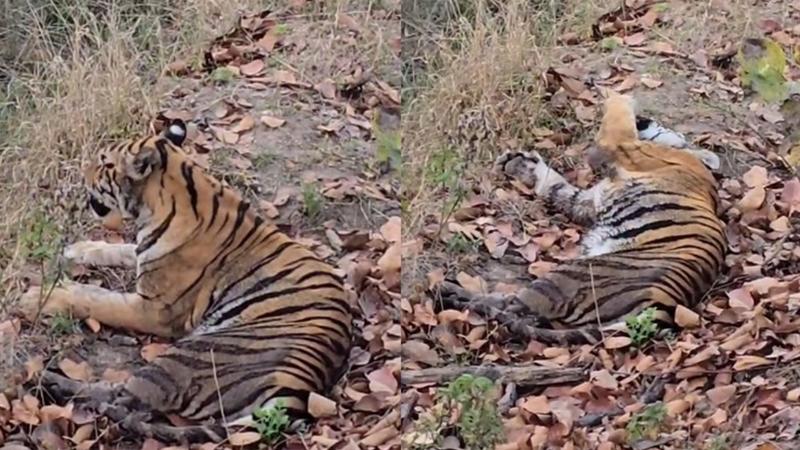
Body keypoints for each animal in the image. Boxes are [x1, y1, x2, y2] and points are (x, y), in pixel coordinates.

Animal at [16, 118, 350, 442]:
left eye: (104, 163)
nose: (81, 173)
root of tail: (300, 389)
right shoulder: (143, 254)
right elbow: (119, 250)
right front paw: (77, 250)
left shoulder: (154, 310)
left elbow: (93, 298)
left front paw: (35, 298)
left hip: (194, 353)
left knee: (126, 397)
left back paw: (46, 380)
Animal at [438, 91, 724, 344]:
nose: (647, 118)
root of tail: (664, 307)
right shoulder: (587, 200)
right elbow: (555, 186)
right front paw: (519, 163)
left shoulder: (623, 145)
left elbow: (618, 111)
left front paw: (619, 95)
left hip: (572, 275)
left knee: (513, 306)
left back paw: (449, 292)